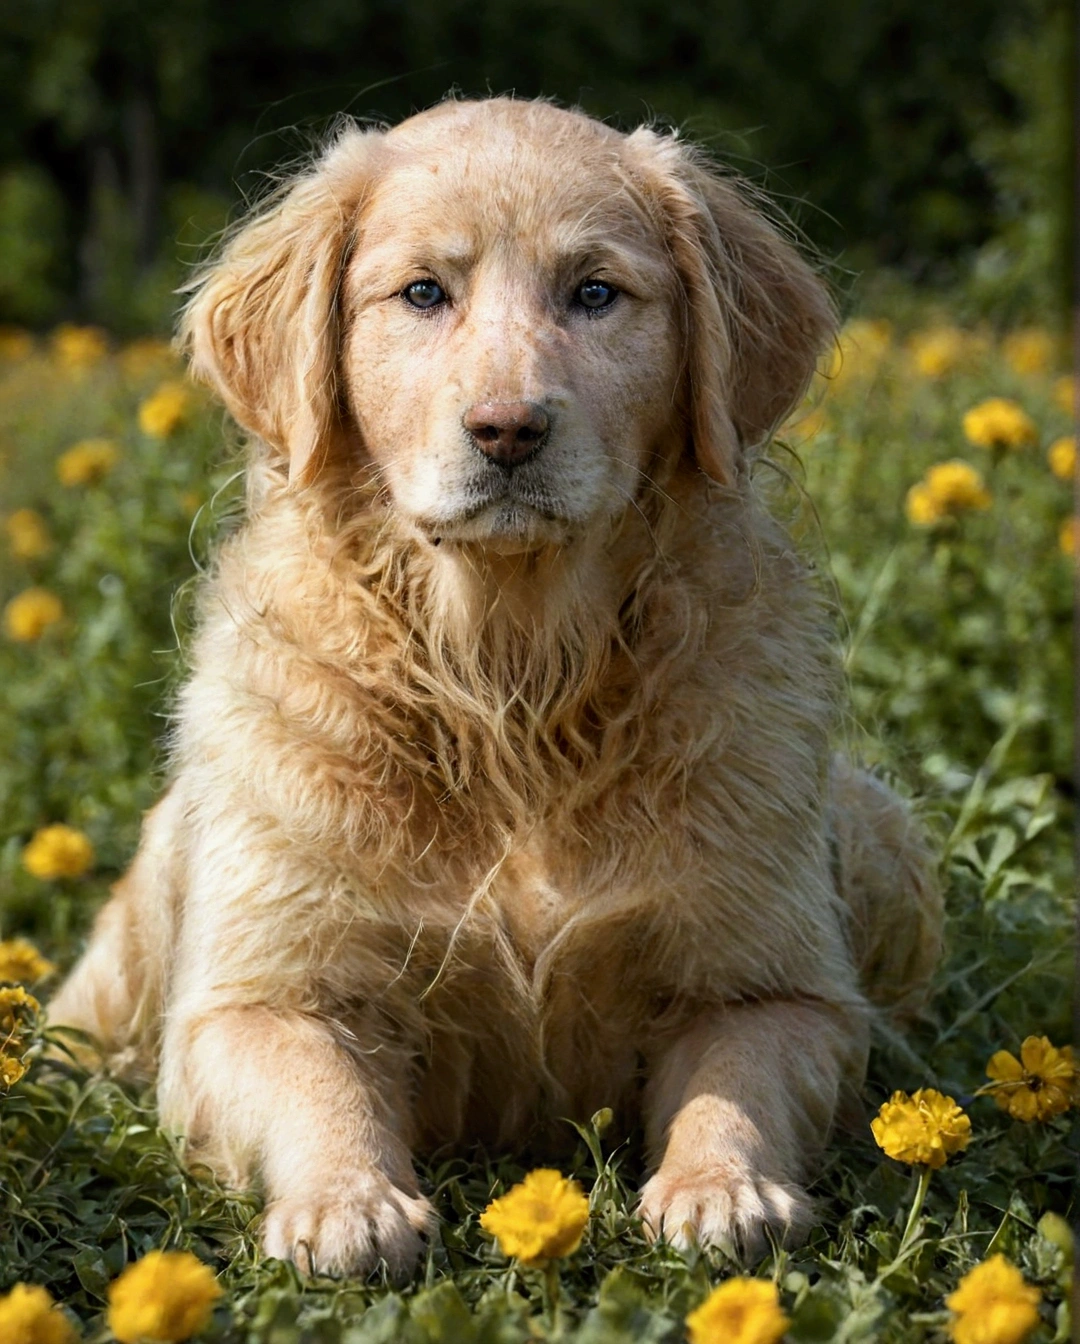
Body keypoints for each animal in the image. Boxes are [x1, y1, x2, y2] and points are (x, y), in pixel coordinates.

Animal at [50, 97, 940, 1279]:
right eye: (424, 292)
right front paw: (348, 1203)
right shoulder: (252, 995)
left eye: (595, 293)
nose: (508, 430)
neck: (511, 684)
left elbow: (733, 1082)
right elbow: (316, 1078)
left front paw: (721, 1187)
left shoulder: (780, 984)